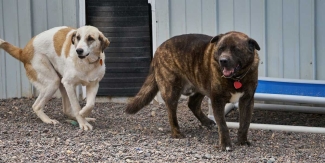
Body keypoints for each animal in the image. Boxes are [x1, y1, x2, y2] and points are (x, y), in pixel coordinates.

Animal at [125, 31, 260, 151]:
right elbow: (223, 125)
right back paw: (176, 133)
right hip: (172, 91)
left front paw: (242, 141)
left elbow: (245, 123)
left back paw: (206, 121)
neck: (236, 78)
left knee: (192, 104)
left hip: (200, 84)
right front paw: (226, 145)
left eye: (236, 49)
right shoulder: (217, 101)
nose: (223, 60)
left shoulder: (247, 100)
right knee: (172, 114)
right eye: (220, 49)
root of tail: (158, 50)